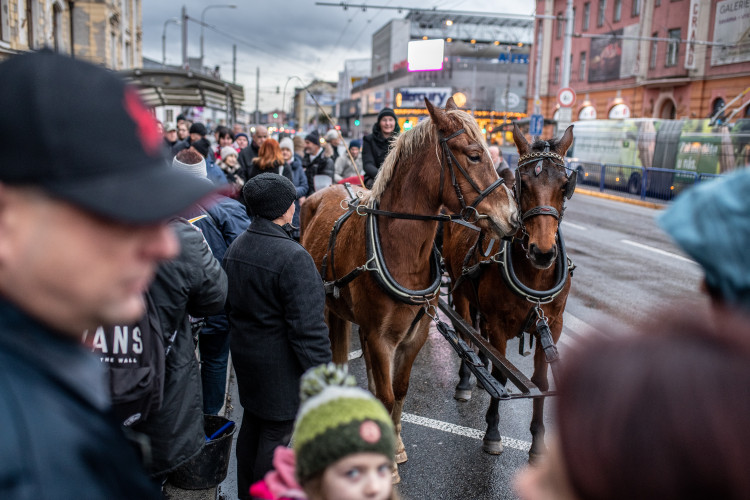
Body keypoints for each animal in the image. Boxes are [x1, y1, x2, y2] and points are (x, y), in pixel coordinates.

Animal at [298, 98, 516, 476]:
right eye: (474, 155)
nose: (513, 217)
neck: (400, 251)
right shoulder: (379, 335)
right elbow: (385, 393)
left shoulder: (416, 332)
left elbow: (398, 389)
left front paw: (396, 442)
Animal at [446, 124, 576, 460]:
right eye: (523, 183)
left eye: (564, 186)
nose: (542, 252)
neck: (535, 276)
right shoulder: (499, 324)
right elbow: (502, 373)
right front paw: (492, 432)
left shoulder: (552, 326)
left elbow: (541, 382)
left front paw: (538, 440)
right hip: (461, 294)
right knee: (465, 332)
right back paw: (466, 381)